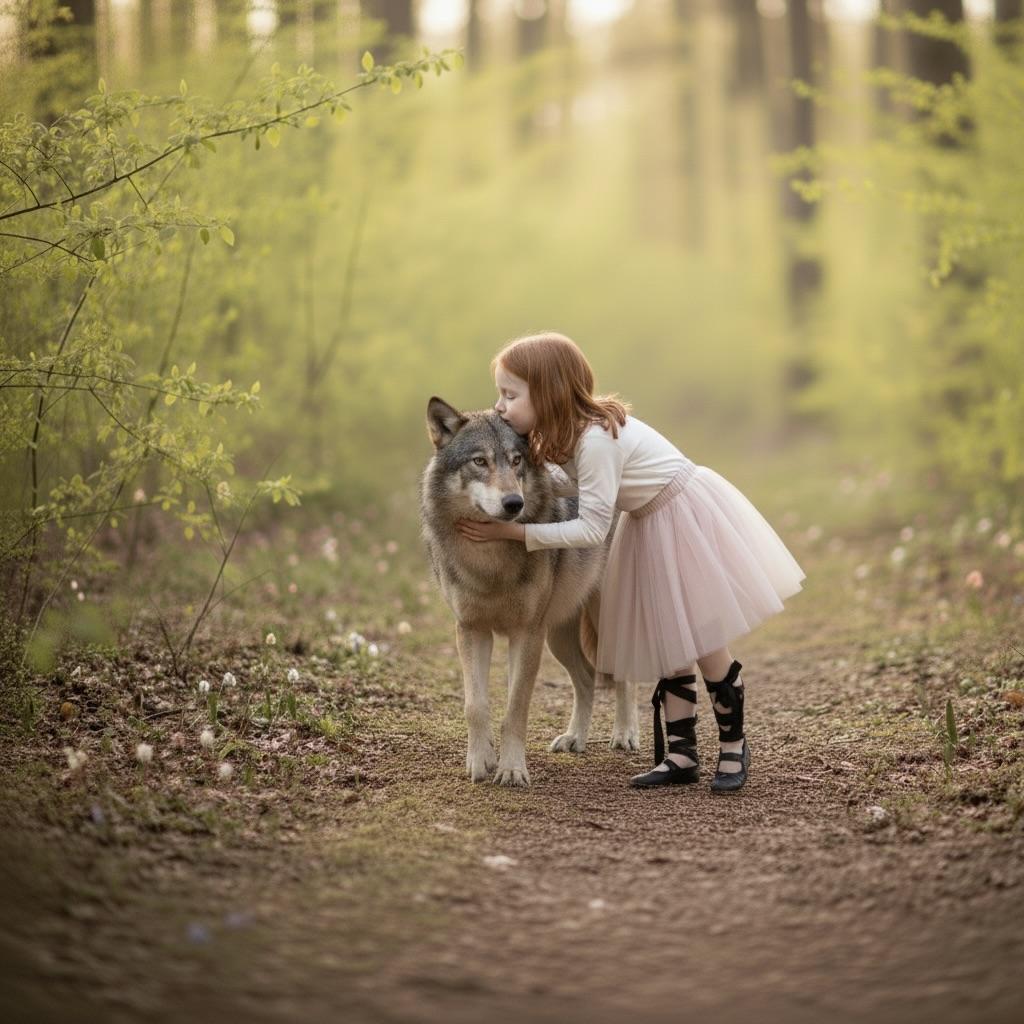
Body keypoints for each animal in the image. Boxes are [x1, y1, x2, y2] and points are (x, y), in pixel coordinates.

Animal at [420, 396, 639, 787]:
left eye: (516, 460)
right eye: (480, 461)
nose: (513, 503)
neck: (489, 564)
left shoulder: (526, 633)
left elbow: (515, 707)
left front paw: (511, 769)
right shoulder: (472, 630)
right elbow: (476, 706)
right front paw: (480, 763)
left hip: (595, 625)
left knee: (623, 677)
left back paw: (625, 734)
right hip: (558, 637)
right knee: (586, 679)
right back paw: (575, 739)